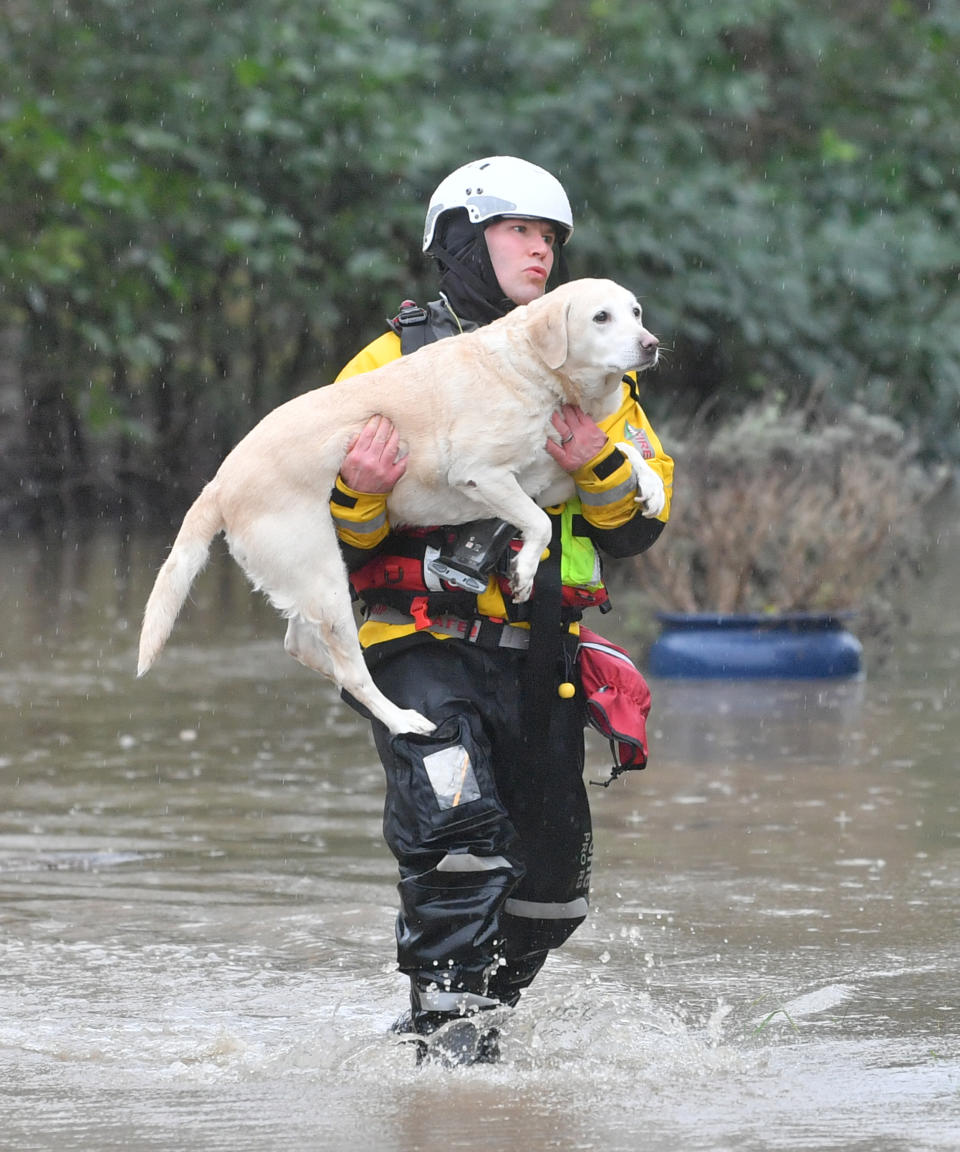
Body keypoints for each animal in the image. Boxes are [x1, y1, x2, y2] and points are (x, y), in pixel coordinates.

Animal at [138, 275, 663, 732]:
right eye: (600, 317)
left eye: (636, 312)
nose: (652, 344)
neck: (534, 371)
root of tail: (218, 483)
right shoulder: (481, 472)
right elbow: (540, 523)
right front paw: (525, 570)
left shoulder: (553, 476)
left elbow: (625, 450)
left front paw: (653, 488)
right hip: (324, 576)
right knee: (349, 669)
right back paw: (402, 720)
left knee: (303, 646)